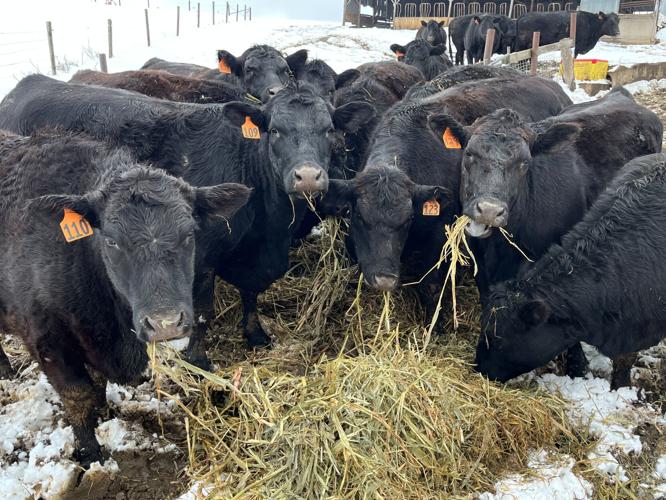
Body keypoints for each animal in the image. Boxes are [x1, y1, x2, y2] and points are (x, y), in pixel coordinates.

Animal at [0, 76, 375, 369]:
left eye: (329, 130)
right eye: (275, 130)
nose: (308, 176)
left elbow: (251, 294)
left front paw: (255, 334)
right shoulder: (201, 259)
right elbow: (202, 313)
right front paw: (199, 361)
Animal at [0, 129, 250, 468]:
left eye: (189, 233)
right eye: (111, 241)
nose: (165, 323)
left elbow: (97, 386)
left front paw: (104, 413)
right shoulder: (47, 340)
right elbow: (78, 396)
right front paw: (89, 453)